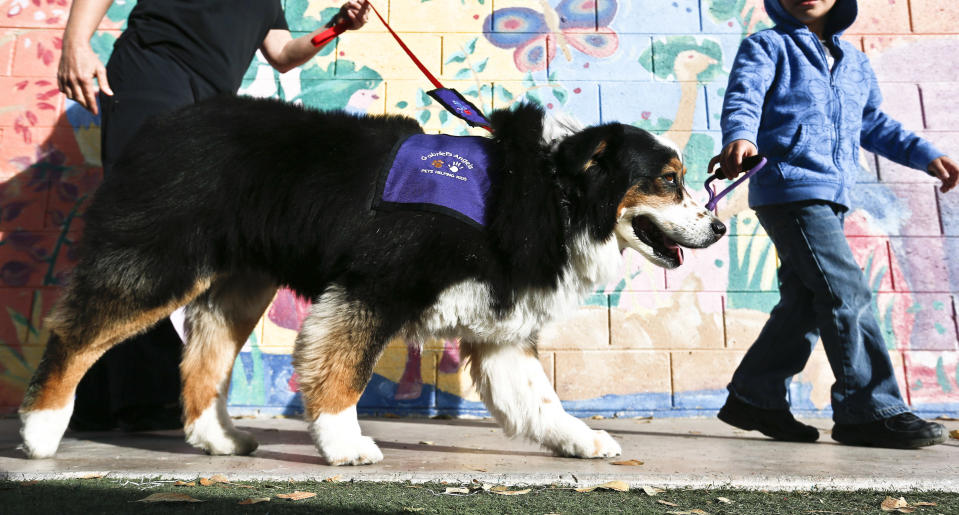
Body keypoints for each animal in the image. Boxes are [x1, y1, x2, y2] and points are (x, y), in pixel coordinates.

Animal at [18, 94, 724, 466]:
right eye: (668, 181)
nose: (718, 227)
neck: (548, 192)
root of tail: (162, 124)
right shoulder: (371, 288)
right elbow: (341, 370)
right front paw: (342, 443)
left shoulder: (498, 331)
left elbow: (540, 400)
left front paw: (581, 440)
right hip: (156, 266)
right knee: (74, 335)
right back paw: (41, 430)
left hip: (241, 285)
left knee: (204, 358)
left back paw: (217, 438)